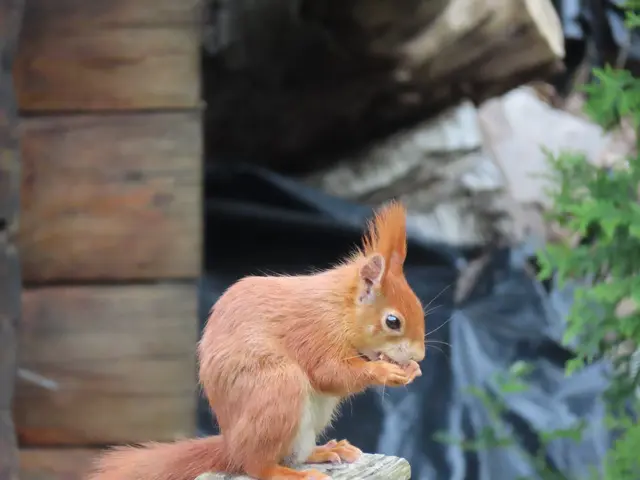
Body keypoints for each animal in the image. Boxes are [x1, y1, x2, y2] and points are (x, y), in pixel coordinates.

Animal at [87, 200, 426, 480]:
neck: (339, 309)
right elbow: (329, 372)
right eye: (392, 321)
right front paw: (386, 371)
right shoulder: (313, 333)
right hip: (277, 389)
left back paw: (326, 450)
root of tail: (230, 445)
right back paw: (290, 474)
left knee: (292, 454)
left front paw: (412, 371)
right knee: (256, 466)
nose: (420, 356)